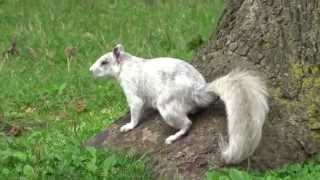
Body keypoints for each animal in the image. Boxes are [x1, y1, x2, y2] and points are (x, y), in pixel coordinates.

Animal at [90, 44, 270, 164]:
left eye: (104, 62)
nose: (90, 70)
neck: (126, 66)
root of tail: (198, 91)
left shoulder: (132, 89)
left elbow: (135, 109)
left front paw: (129, 126)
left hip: (167, 105)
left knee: (187, 123)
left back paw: (174, 137)